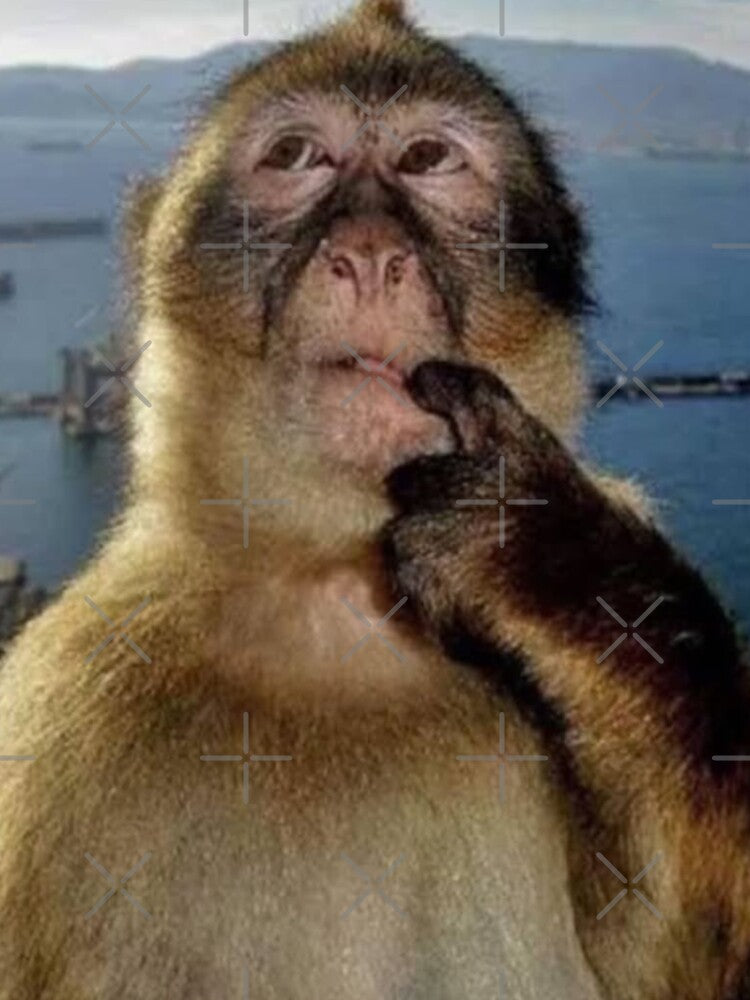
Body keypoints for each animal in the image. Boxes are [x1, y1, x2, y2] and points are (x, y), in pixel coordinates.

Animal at [1, 0, 750, 997]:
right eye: (296, 156)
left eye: (428, 159)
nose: (368, 253)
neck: (337, 596)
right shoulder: (55, 709)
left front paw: (548, 558)